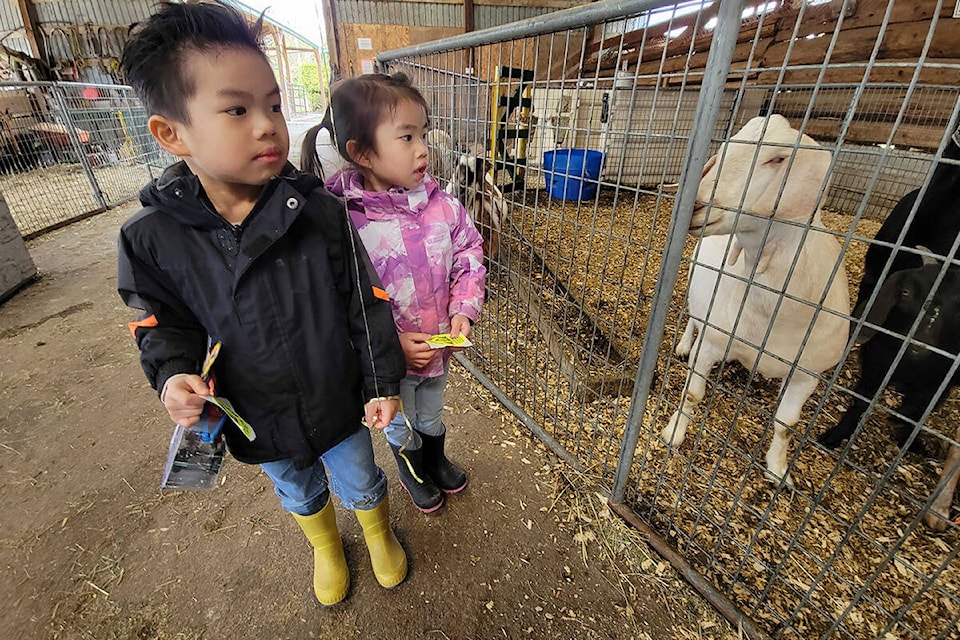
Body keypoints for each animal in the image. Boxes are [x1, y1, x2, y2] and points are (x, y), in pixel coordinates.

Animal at [664, 114, 852, 484]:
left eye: (777, 159)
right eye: (725, 147)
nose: (692, 203)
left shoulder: (809, 372)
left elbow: (786, 424)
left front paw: (778, 470)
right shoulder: (713, 340)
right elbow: (692, 392)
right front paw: (673, 433)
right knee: (693, 318)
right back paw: (684, 345)